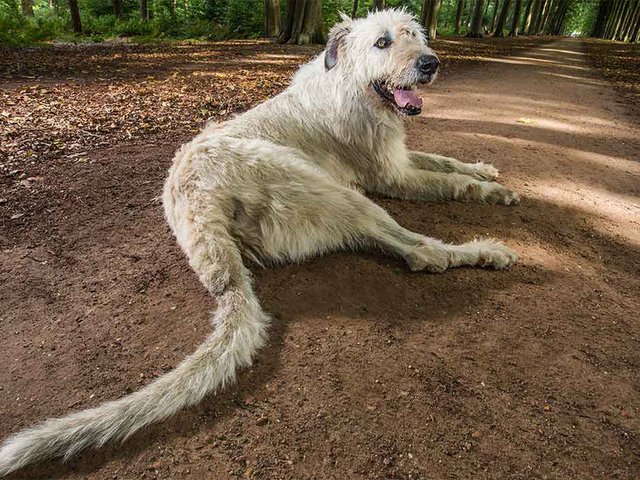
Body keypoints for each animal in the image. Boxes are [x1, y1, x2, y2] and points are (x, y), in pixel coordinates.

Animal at [0, 8, 520, 476]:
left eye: (414, 35)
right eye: (382, 42)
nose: (430, 63)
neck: (350, 84)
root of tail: (199, 211)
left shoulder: (401, 156)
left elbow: (444, 161)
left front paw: (482, 168)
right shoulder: (390, 175)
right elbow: (448, 182)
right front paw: (491, 191)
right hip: (331, 191)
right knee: (419, 251)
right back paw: (484, 250)